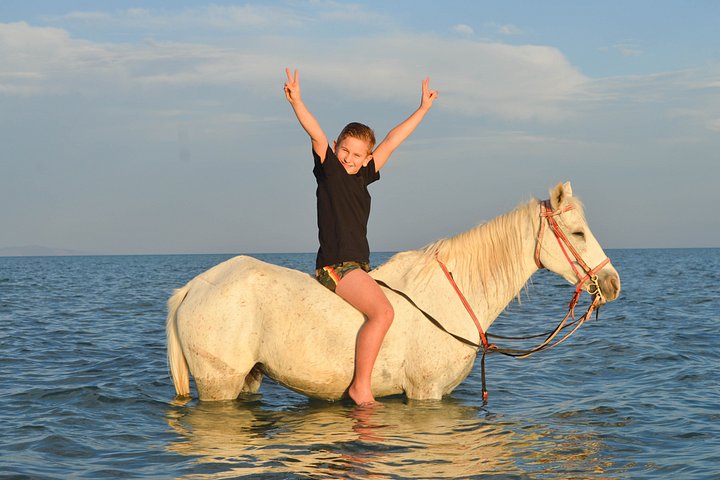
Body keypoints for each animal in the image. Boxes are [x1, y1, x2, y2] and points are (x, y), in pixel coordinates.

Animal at [166, 182, 621, 402]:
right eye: (578, 233)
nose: (612, 283)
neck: (452, 295)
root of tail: (191, 288)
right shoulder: (425, 394)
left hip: (248, 380)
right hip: (219, 385)